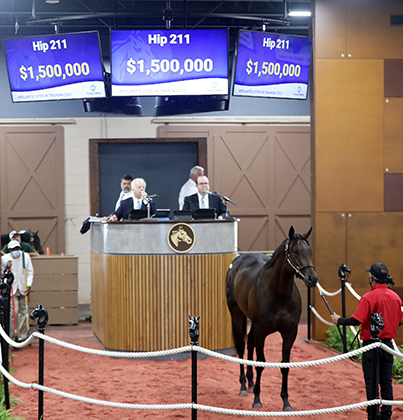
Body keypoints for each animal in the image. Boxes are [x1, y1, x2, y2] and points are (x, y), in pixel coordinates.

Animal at [227, 226, 318, 410]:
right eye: (295, 251)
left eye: (310, 250)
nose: (312, 278)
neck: (279, 294)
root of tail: (238, 261)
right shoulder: (262, 331)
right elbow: (261, 363)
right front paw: (257, 400)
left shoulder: (290, 333)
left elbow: (285, 365)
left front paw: (286, 402)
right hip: (237, 315)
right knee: (241, 346)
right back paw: (243, 386)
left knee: (250, 343)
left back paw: (250, 382)